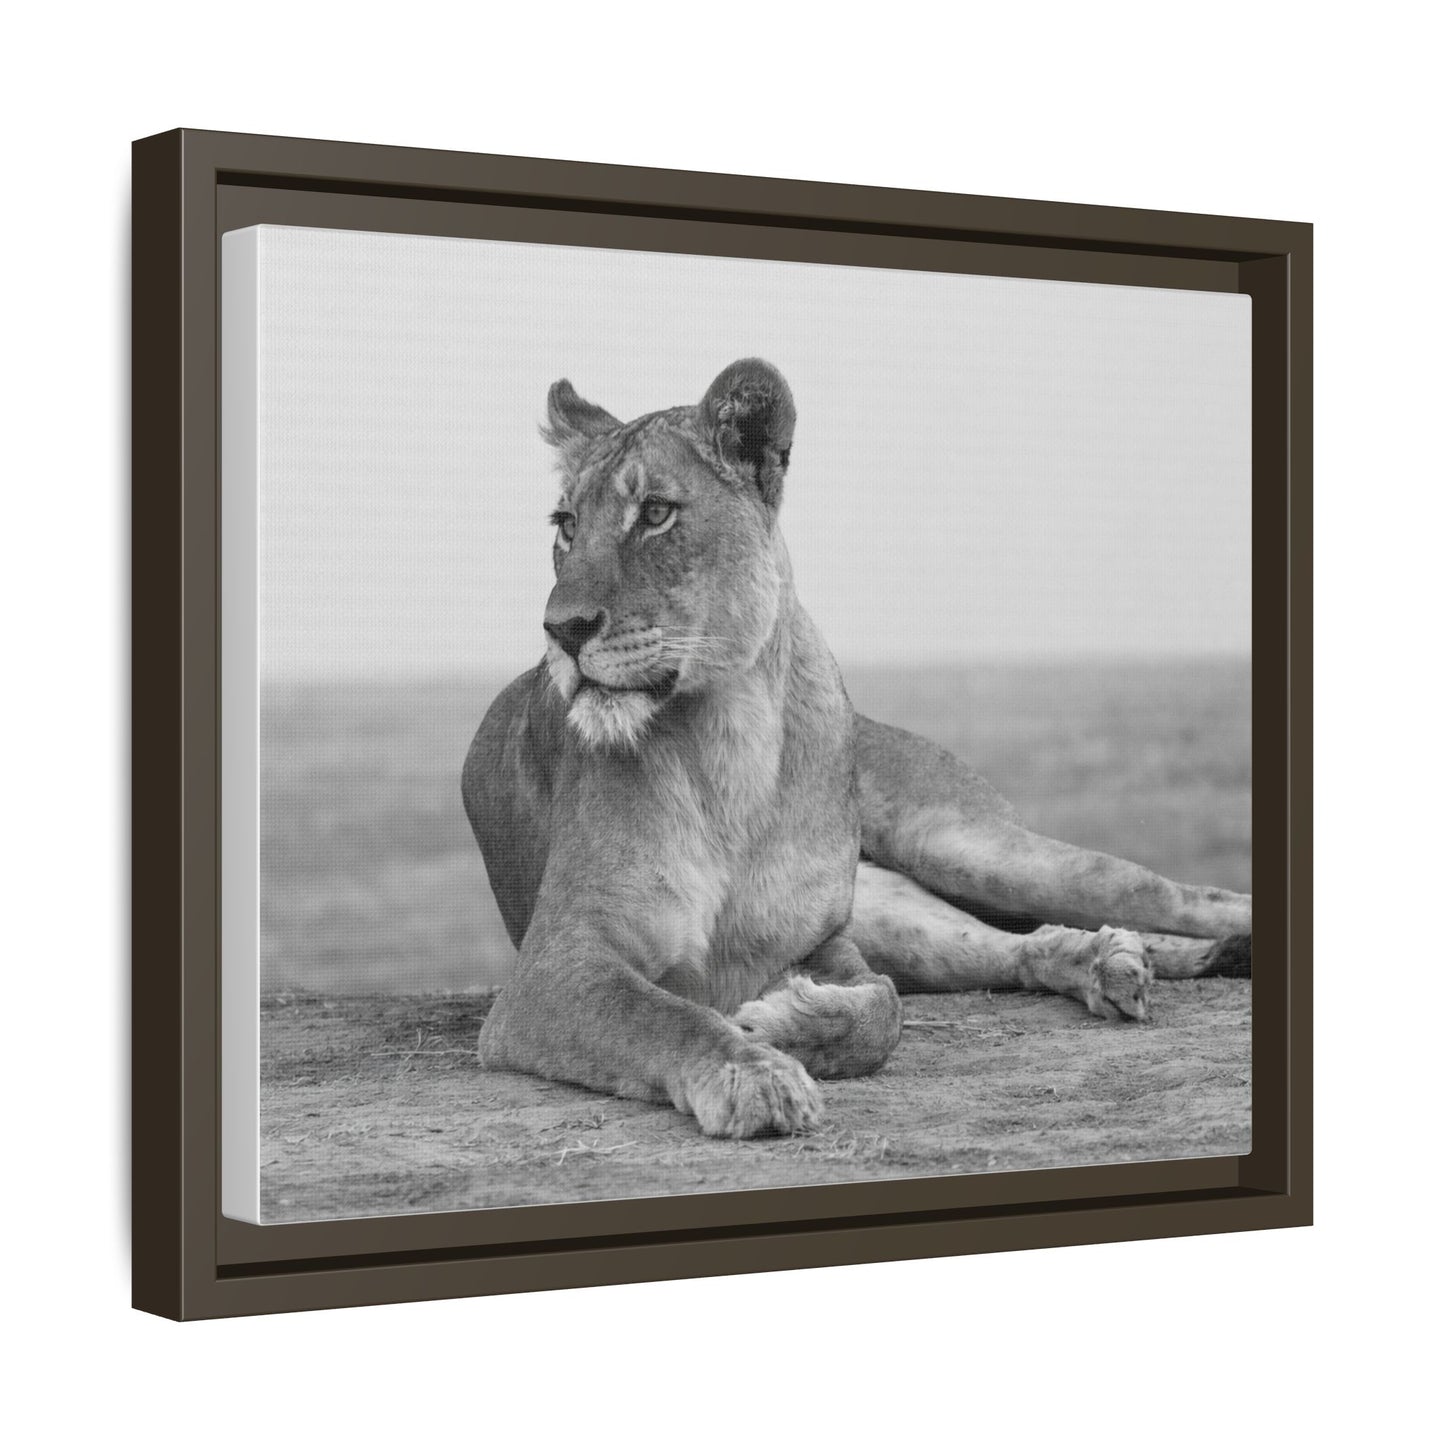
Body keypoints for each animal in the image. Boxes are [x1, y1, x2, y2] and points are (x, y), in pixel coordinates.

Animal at [462, 358, 1251, 1138]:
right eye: (566, 525)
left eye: (656, 512)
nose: (561, 629)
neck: (730, 743)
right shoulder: (555, 966)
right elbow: (666, 1014)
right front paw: (753, 1072)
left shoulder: (822, 942)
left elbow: (883, 1012)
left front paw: (779, 1023)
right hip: (899, 908)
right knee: (1012, 946)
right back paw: (1109, 960)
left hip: (961, 846)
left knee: (1173, 895)